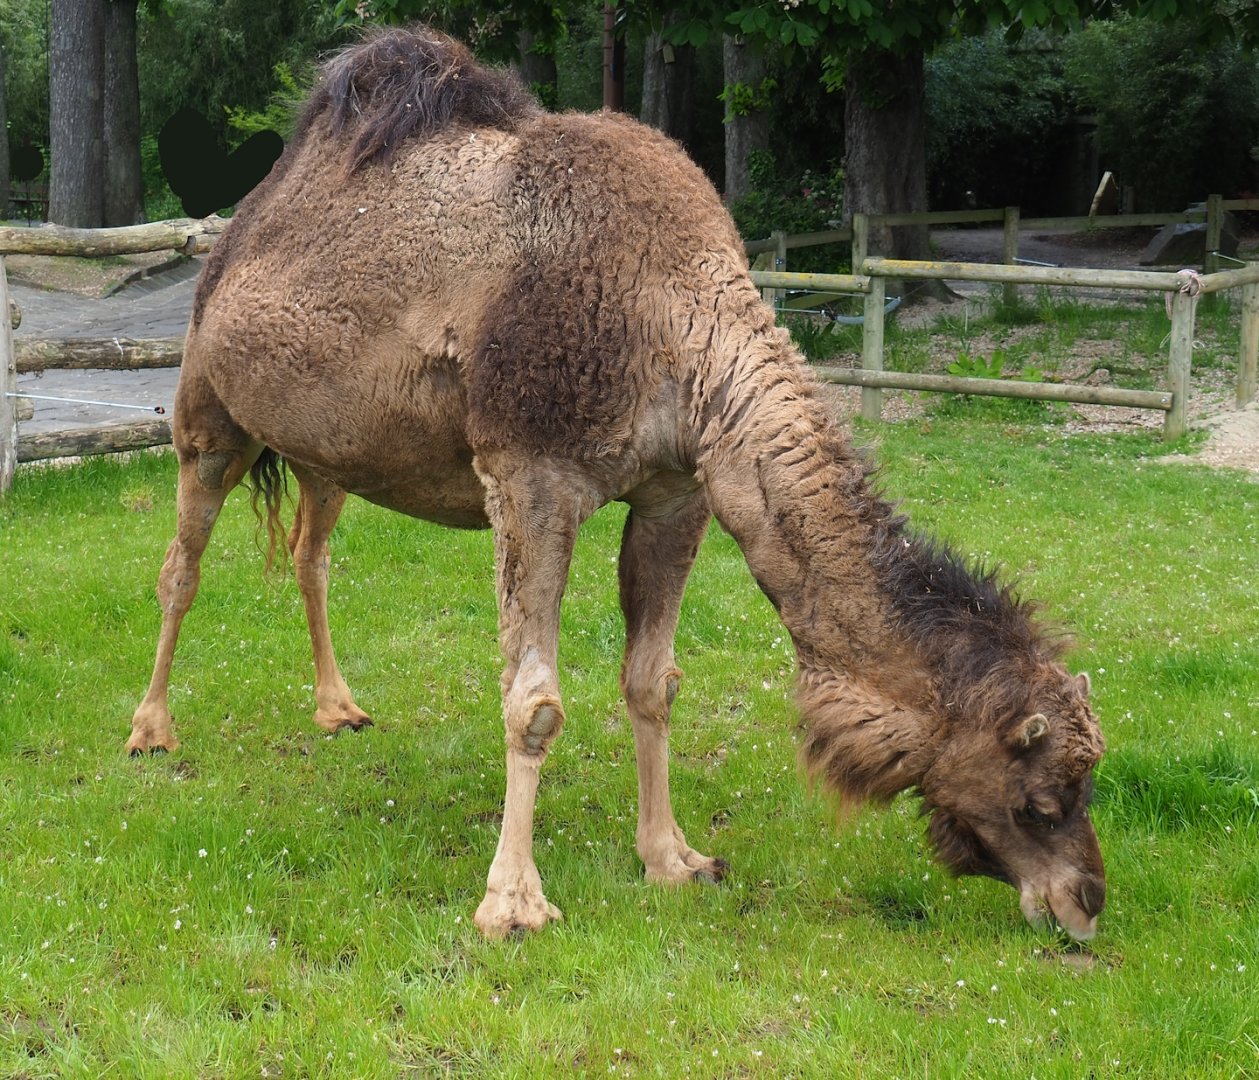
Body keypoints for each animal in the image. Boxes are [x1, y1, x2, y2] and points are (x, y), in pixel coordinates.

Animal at [128, 26, 1106, 940]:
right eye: (1042, 796)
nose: (1086, 901)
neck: (675, 317)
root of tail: (237, 229)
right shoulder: (528, 475)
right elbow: (534, 704)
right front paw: (513, 903)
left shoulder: (679, 489)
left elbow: (652, 680)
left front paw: (672, 858)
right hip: (209, 413)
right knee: (181, 567)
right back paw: (150, 729)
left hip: (326, 450)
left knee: (310, 554)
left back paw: (338, 709)